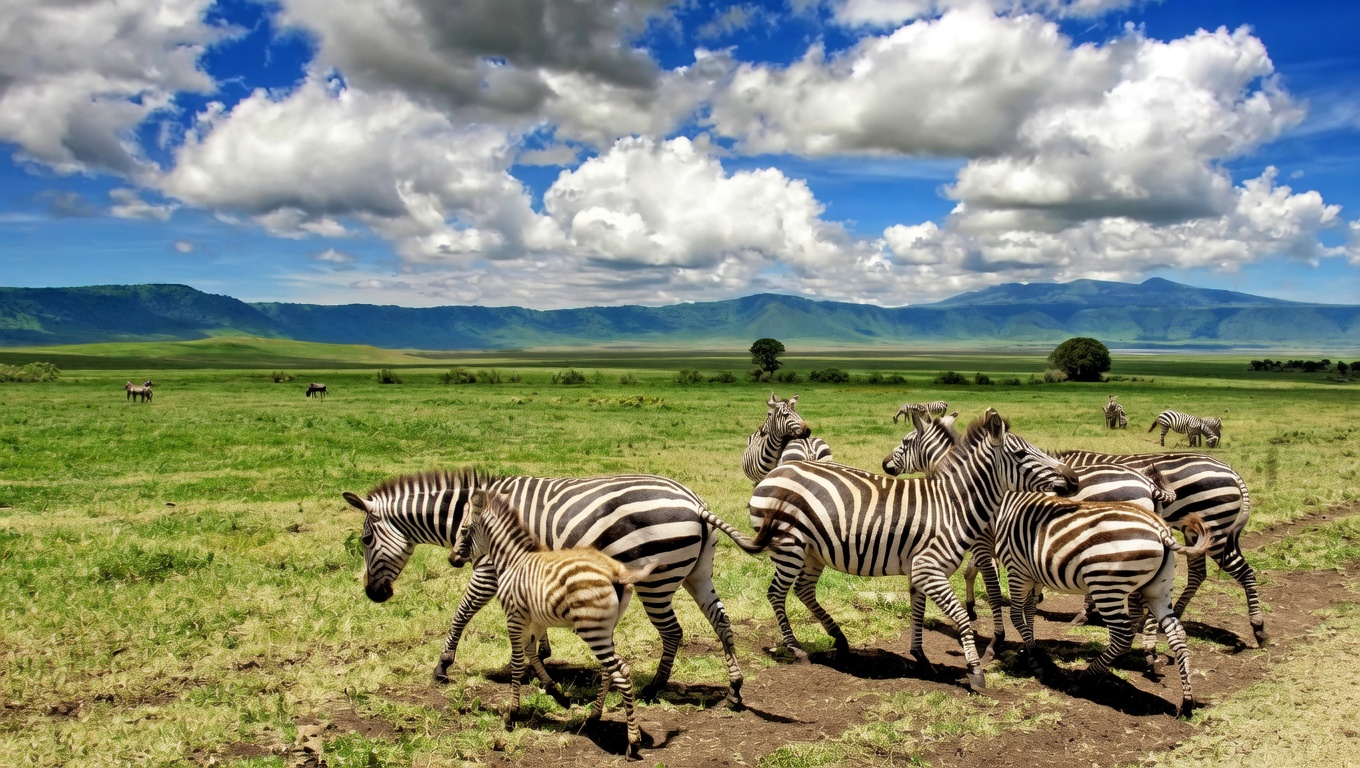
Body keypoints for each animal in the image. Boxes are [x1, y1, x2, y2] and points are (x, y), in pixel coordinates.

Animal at [342, 467, 774, 705]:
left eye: (364, 540)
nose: (373, 595)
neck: (476, 516)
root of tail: (695, 502)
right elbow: (533, 622)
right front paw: (542, 656)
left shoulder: (488, 569)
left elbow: (462, 612)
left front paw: (443, 665)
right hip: (698, 573)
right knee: (720, 621)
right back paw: (734, 689)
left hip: (656, 581)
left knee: (673, 631)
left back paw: (655, 687)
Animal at [453, 489, 653, 759]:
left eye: (464, 530)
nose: (452, 559)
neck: (513, 560)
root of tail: (616, 572)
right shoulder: (534, 620)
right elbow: (533, 653)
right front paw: (556, 693)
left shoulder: (514, 616)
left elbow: (518, 663)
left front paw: (512, 715)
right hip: (604, 628)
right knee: (612, 669)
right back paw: (594, 716)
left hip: (592, 630)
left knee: (620, 673)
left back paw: (632, 741)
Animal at [746, 408, 1079, 691]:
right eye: (1022, 454)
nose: (1074, 478)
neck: (953, 505)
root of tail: (776, 471)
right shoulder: (929, 568)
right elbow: (961, 616)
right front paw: (975, 671)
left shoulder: (921, 570)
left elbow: (918, 612)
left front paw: (920, 657)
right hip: (789, 546)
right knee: (776, 593)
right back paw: (795, 648)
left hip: (813, 551)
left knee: (803, 590)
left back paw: (839, 638)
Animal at [995, 495, 1211, 717]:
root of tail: (1161, 530)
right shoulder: (1034, 573)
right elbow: (1029, 610)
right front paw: (1031, 647)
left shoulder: (1016, 569)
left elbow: (1016, 614)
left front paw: (1032, 653)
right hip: (1158, 590)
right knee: (1177, 634)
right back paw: (1186, 701)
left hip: (1107, 585)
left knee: (1122, 637)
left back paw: (1087, 676)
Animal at [1057, 449, 1264, 646]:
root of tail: (1230, 469)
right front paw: (1087, 609)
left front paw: (1086, 610)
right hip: (1195, 532)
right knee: (1198, 573)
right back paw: (1175, 613)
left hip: (1214, 528)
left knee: (1244, 571)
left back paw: (1258, 626)